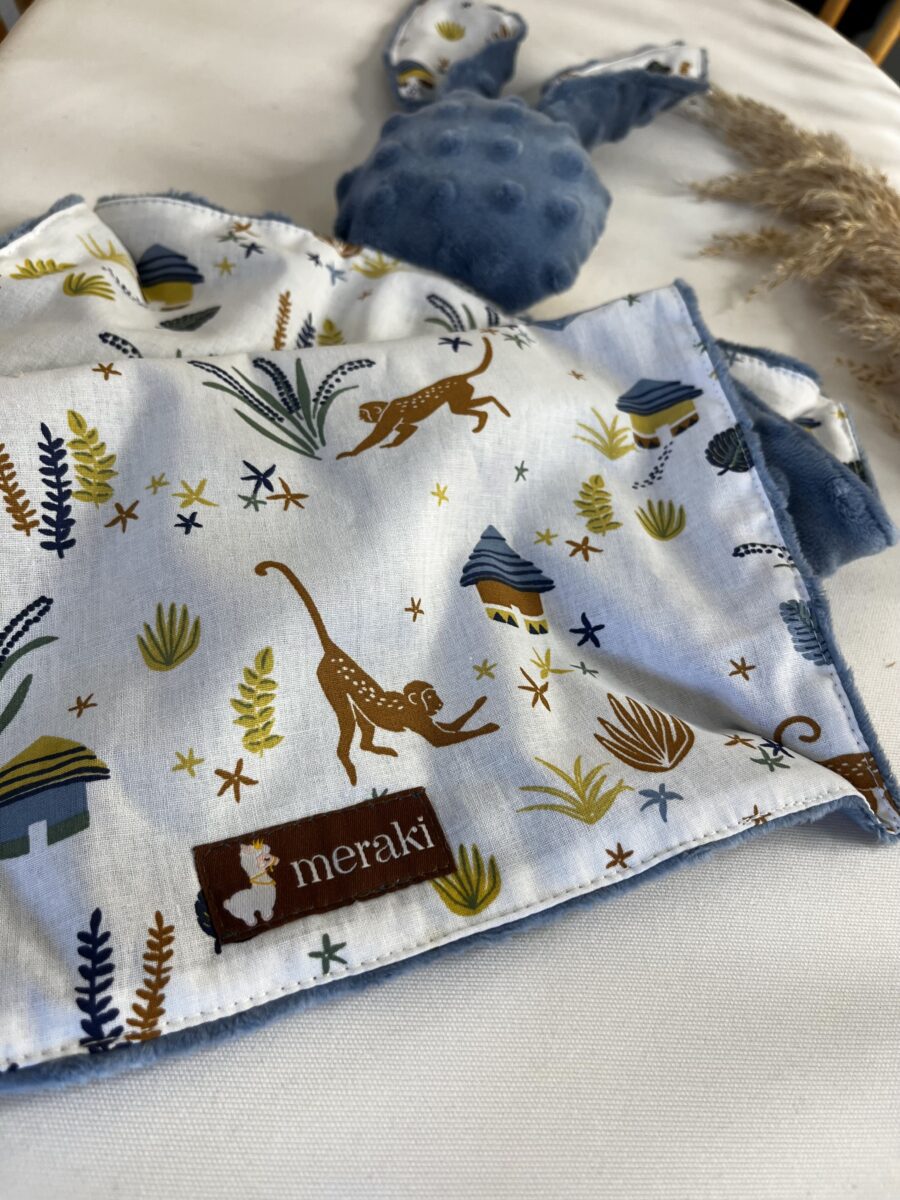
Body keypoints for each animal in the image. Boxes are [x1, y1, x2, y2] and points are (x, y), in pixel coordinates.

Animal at [255, 561, 500, 785]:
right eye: (429, 696)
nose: (439, 703)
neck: (413, 705)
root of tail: (333, 651)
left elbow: (451, 725)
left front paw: (479, 703)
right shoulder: (416, 718)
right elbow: (442, 740)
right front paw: (488, 727)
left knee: (362, 726)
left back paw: (375, 749)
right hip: (331, 683)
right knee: (347, 721)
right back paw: (348, 764)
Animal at [335, 336, 509, 459]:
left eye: (364, 412)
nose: (360, 416)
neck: (385, 407)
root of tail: (458, 377)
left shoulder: (390, 417)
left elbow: (377, 436)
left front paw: (351, 453)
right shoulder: (396, 421)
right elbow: (410, 429)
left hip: (460, 391)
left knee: (461, 408)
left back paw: (489, 415)